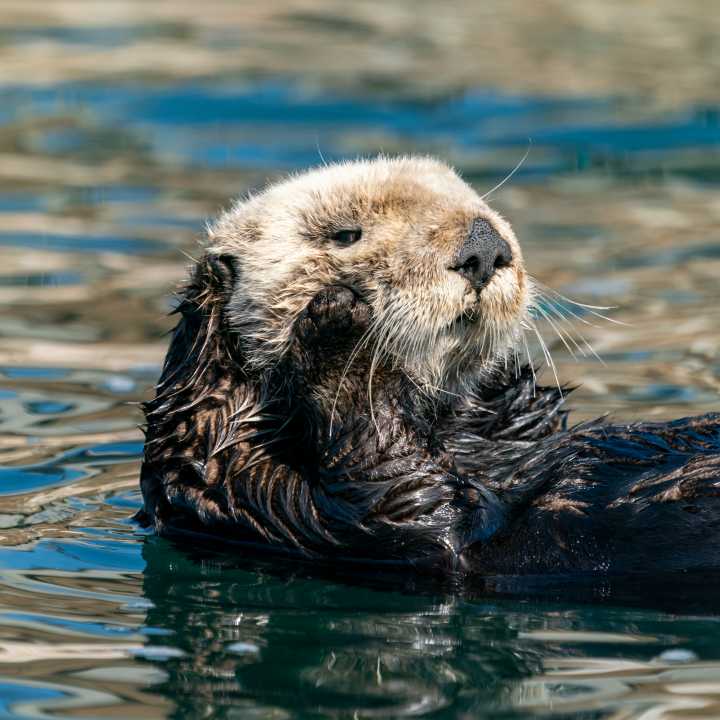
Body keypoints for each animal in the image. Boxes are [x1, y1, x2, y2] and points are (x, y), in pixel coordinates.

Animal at [138, 157, 720, 579]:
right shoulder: (246, 486)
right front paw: (338, 332)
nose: (485, 247)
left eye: (483, 208)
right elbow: (409, 505)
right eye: (343, 234)